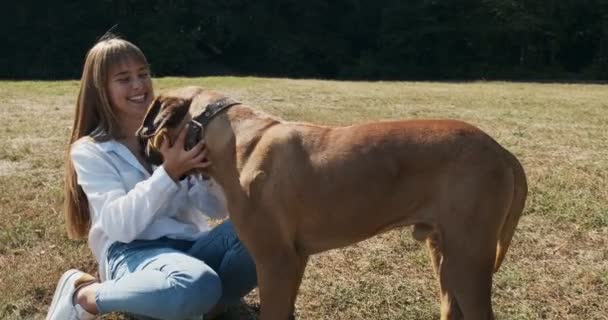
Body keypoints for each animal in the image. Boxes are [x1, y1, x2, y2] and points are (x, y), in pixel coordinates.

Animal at [138, 86, 528, 318]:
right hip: (446, 257)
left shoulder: (275, 262)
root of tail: (502, 151)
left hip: (468, 262)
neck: (231, 135)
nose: (142, 146)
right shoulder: (295, 260)